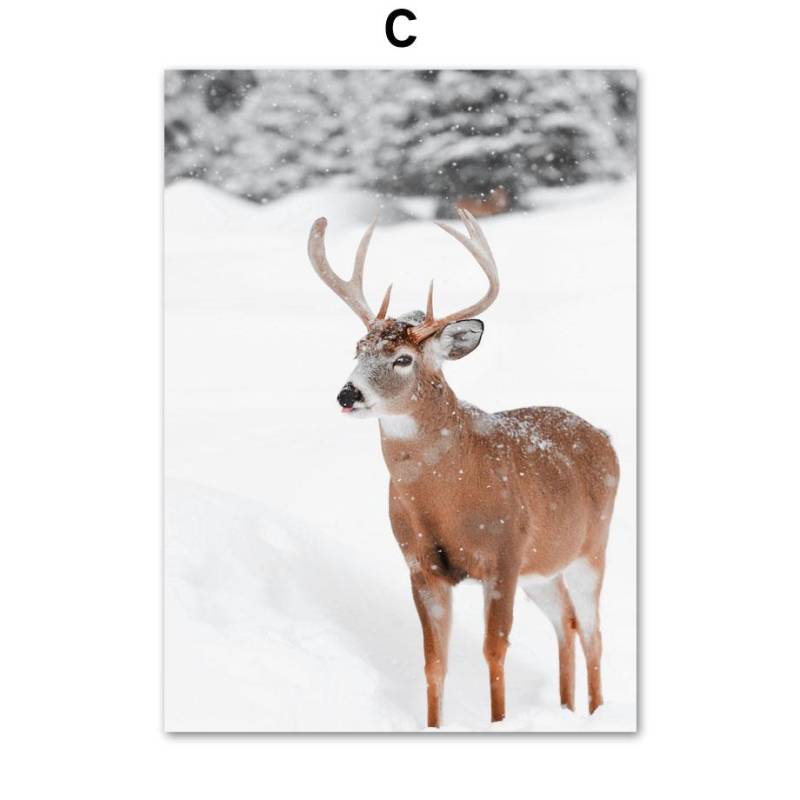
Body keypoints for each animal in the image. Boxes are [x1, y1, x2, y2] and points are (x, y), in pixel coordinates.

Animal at [307, 209, 619, 728]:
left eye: (403, 358)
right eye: (357, 349)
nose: (347, 394)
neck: (450, 496)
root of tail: (605, 437)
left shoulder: (505, 552)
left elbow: (495, 650)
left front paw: (500, 721)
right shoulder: (420, 563)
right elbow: (434, 661)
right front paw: (435, 724)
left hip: (591, 547)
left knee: (593, 629)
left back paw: (595, 710)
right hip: (544, 566)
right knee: (567, 620)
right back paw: (565, 707)